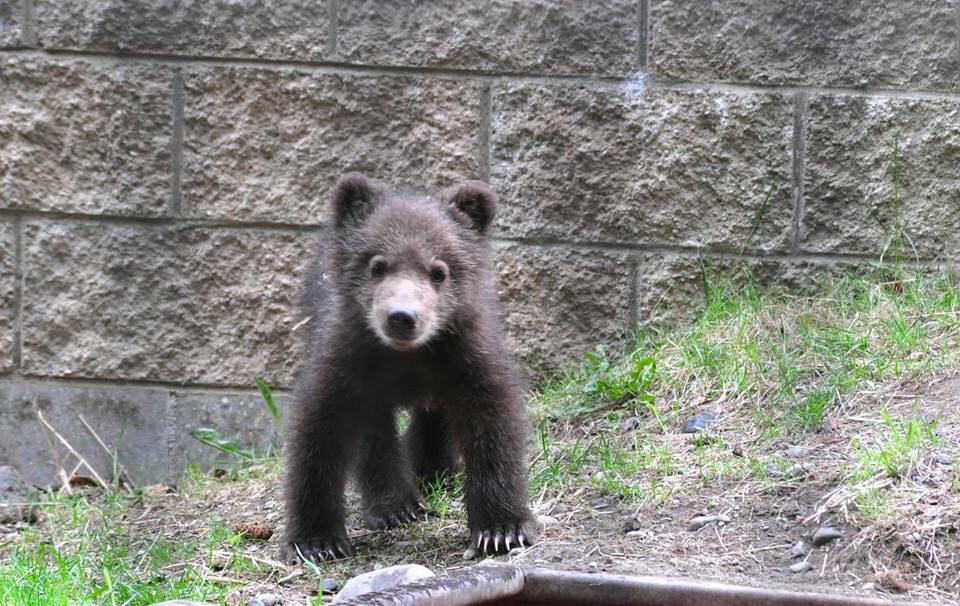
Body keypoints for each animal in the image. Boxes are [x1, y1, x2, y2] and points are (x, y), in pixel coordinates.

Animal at [281, 173, 537, 563]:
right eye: (377, 265)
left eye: (438, 272)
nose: (402, 316)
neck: (408, 357)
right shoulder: (346, 363)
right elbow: (319, 435)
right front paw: (317, 541)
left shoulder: (465, 360)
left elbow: (491, 428)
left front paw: (500, 530)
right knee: (375, 434)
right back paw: (397, 505)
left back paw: (434, 474)